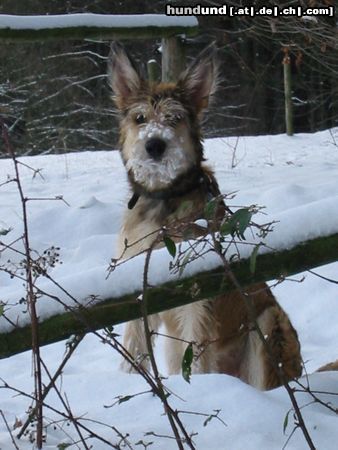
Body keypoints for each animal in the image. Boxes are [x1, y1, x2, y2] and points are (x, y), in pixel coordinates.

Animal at [107, 42, 302, 390]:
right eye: (140, 118)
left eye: (174, 118)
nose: (155, 145)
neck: (165, 198)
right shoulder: (140, 292)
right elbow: (134, 352)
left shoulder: (197, 301)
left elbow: (195, 361)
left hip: (268, 324)